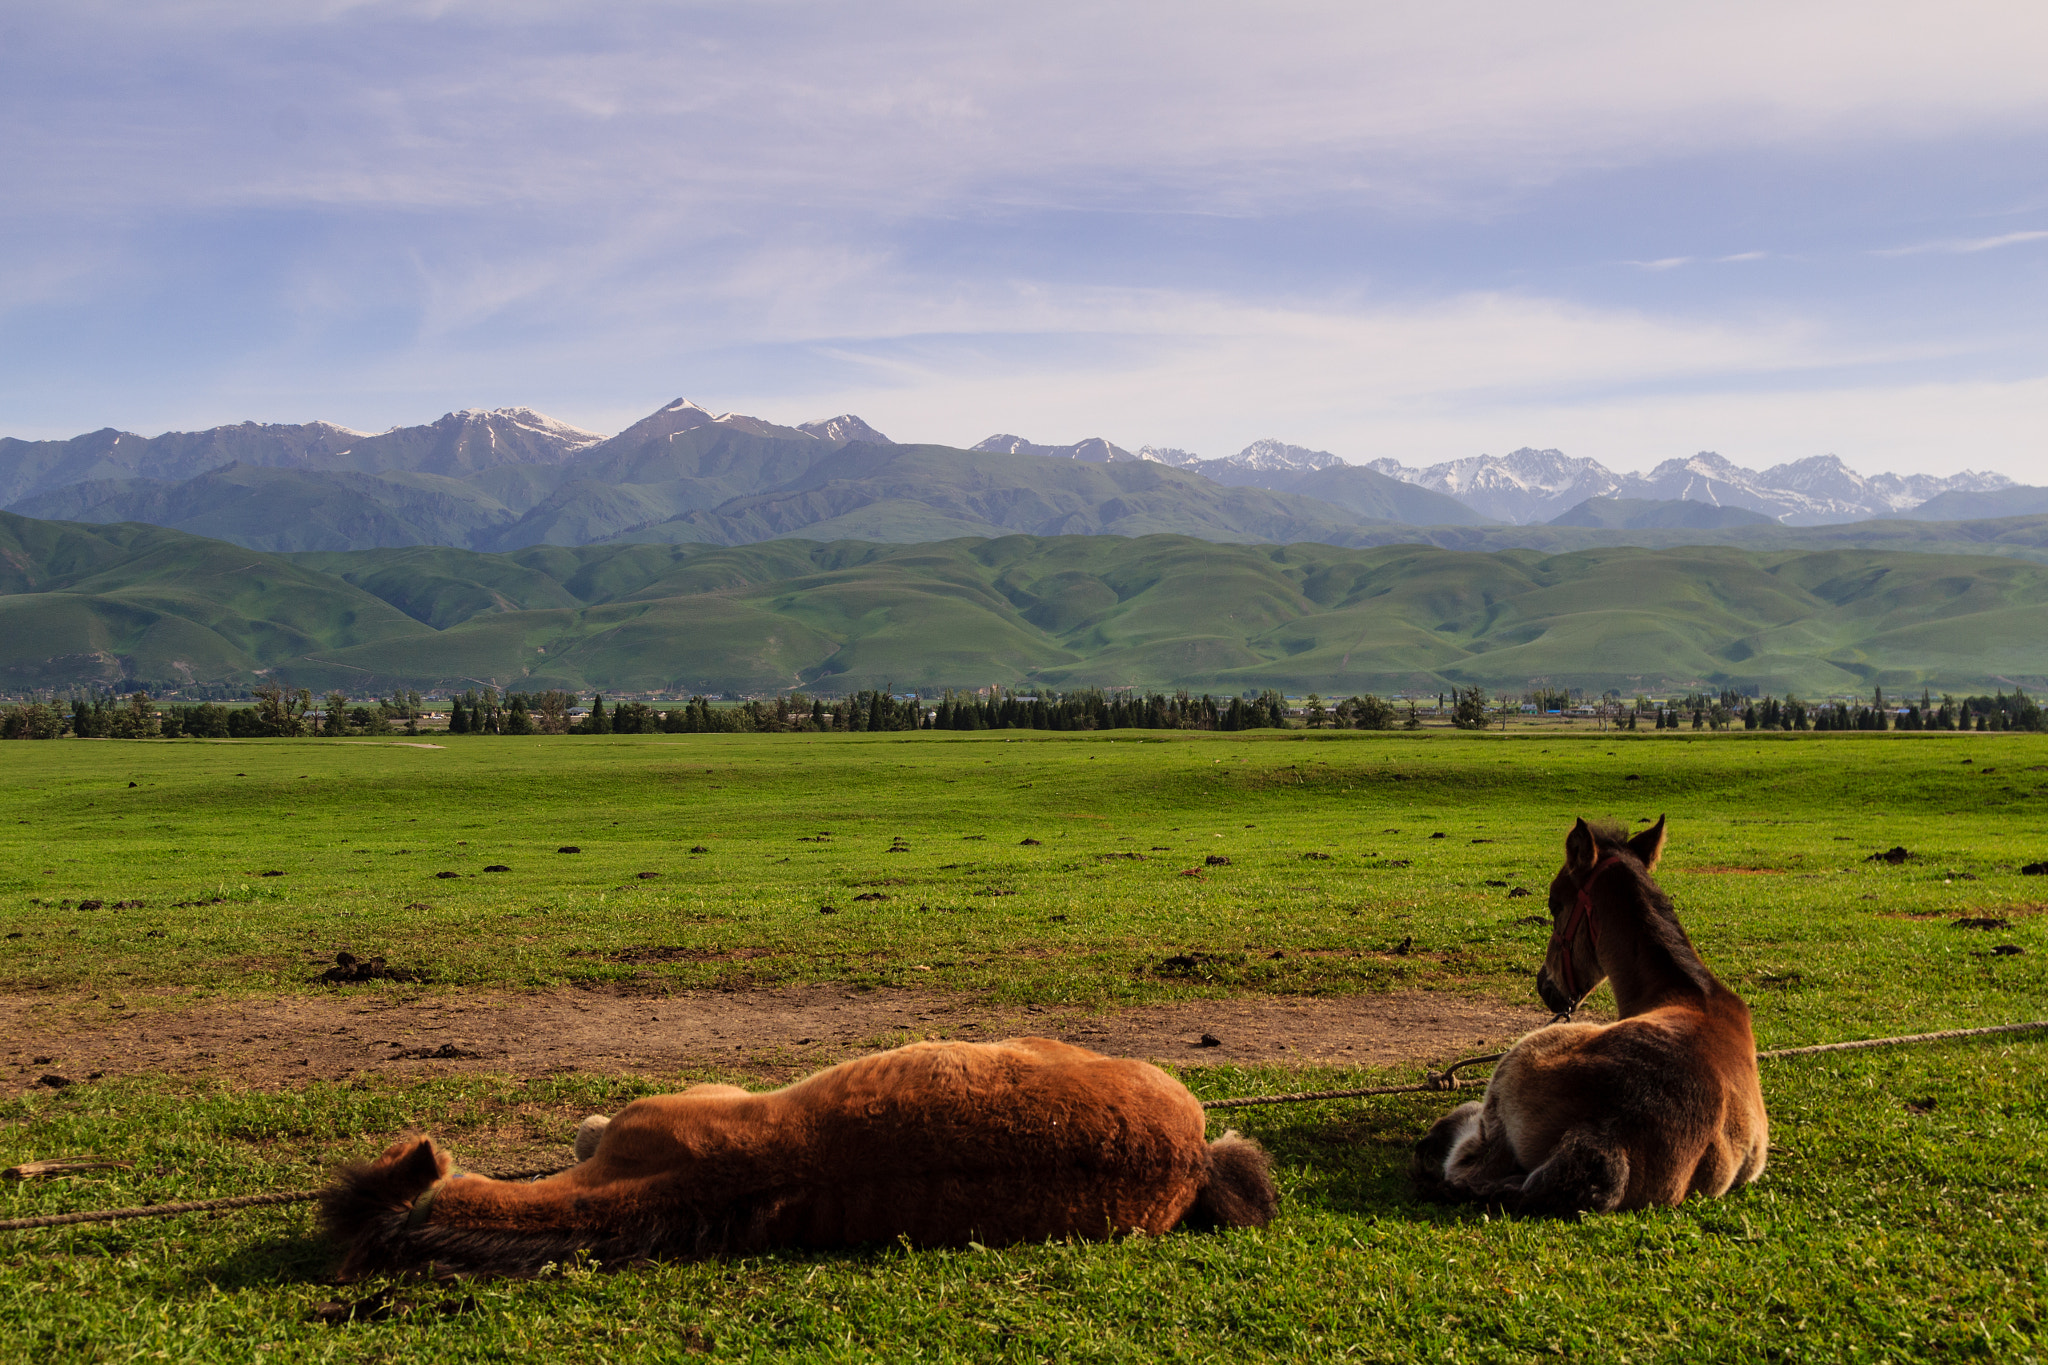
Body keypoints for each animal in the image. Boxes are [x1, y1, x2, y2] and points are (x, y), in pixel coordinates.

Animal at [1412, 816, 1768, 1214]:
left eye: (1555, 905)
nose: (1545, 987)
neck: (1691, 992)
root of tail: (1607, 1135)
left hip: (1517, 1064)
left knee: (1465, 1163)